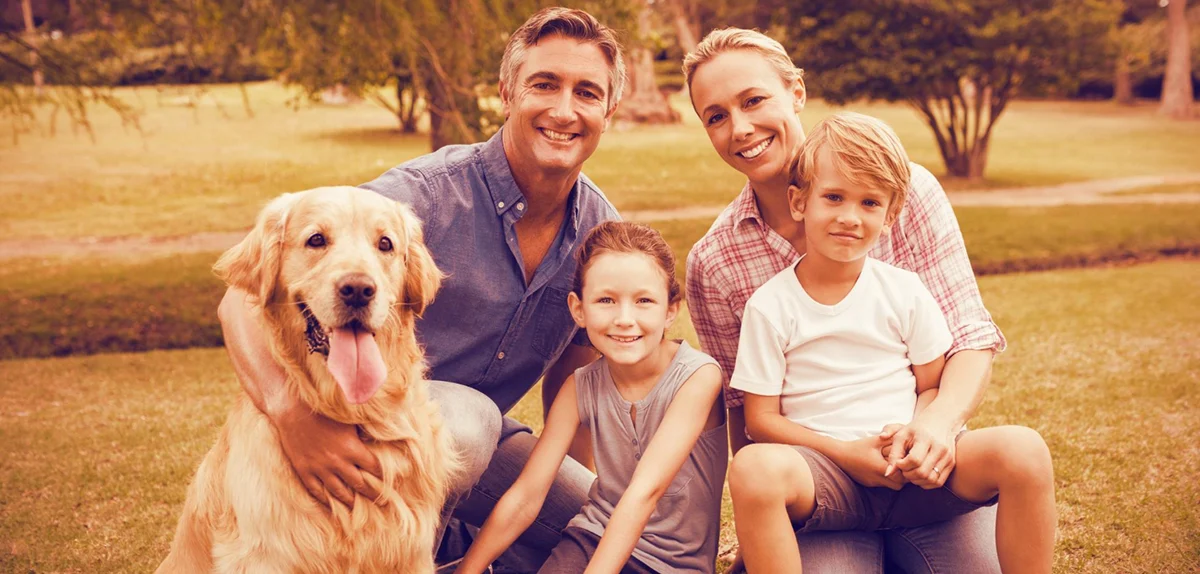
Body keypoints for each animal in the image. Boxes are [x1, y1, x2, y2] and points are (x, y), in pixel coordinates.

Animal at [159, 186, 458, 571]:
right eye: (316, 239)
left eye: (385, 244)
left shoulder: (411, 553)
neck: (354, 410)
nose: (358, 289)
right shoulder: (266, 555)